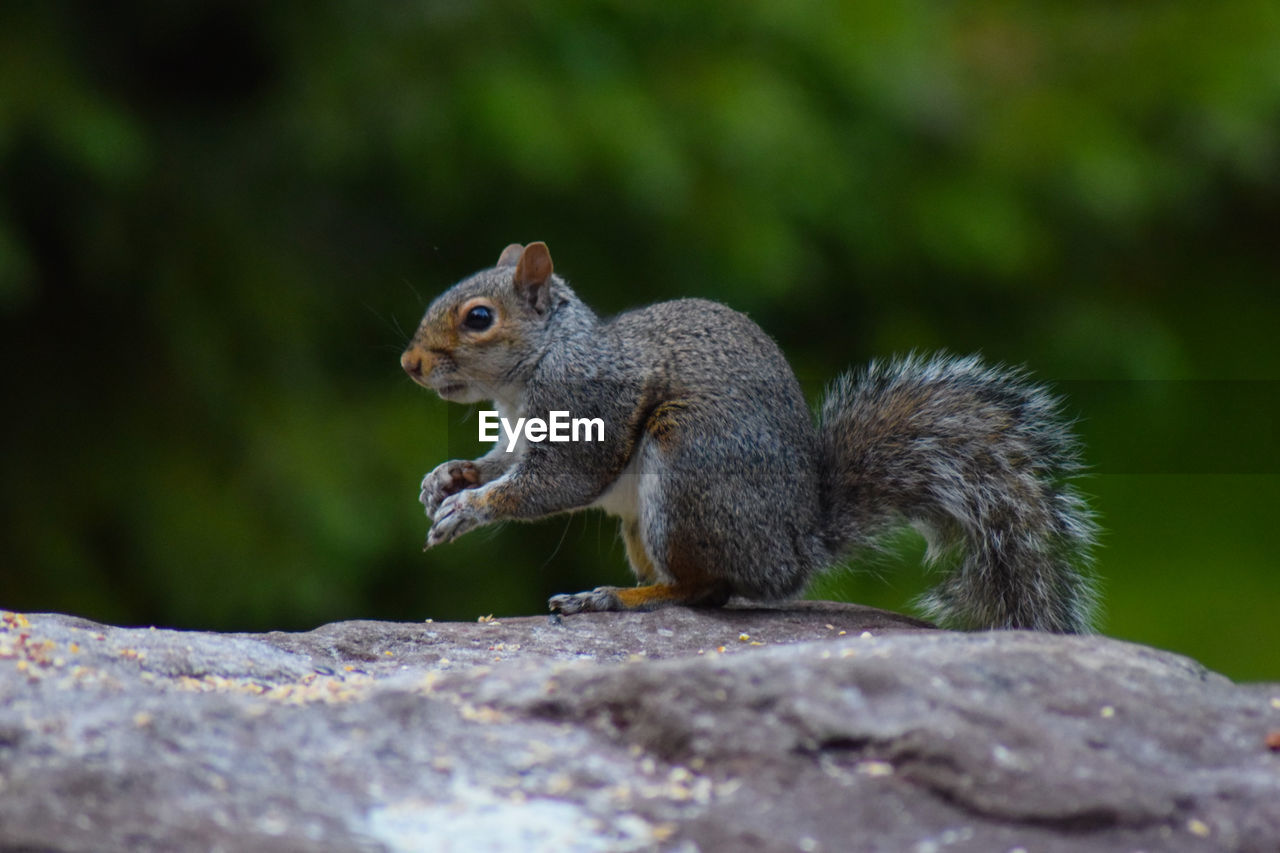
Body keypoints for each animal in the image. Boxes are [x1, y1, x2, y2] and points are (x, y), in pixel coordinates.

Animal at [401, 242, 1100, 627]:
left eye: (479, 318)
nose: (409, 364)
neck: (530, 375)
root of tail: (794, 550)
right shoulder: (519, 433)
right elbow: (502, 464)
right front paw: (448, 478)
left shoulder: (586, 404)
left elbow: (557, 481)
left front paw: (469, 508)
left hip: (689, 471)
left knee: (704, 589)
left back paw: (617, 597)